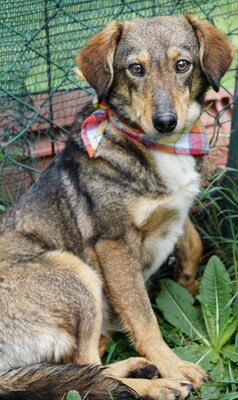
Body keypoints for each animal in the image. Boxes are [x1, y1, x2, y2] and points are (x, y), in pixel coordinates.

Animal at [0, 14, 233, 400]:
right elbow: (143, 317)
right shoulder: (113, 244)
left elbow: (193, 242)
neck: (162, 146)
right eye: (135, 69)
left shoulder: (177, 207)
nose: (165, 121)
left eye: (182, 65)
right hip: (74, 270)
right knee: (86, 369)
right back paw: (156, 383)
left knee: (82, 367)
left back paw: (137, 368)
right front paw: (174, 365)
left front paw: (188, 286)